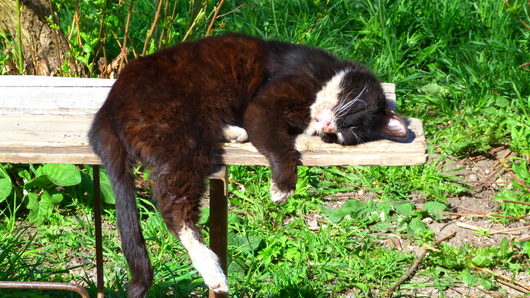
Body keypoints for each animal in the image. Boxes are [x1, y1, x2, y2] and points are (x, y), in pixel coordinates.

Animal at [88, 33, 406, 296]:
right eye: (352, 117)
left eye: (341, 136)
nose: (328, 127)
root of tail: (110, 104)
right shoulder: (266, 105)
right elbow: (278, 144)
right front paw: (283, 187)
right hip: (181, 137)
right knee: (173, 206)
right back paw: (213, 271)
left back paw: (232, 131)